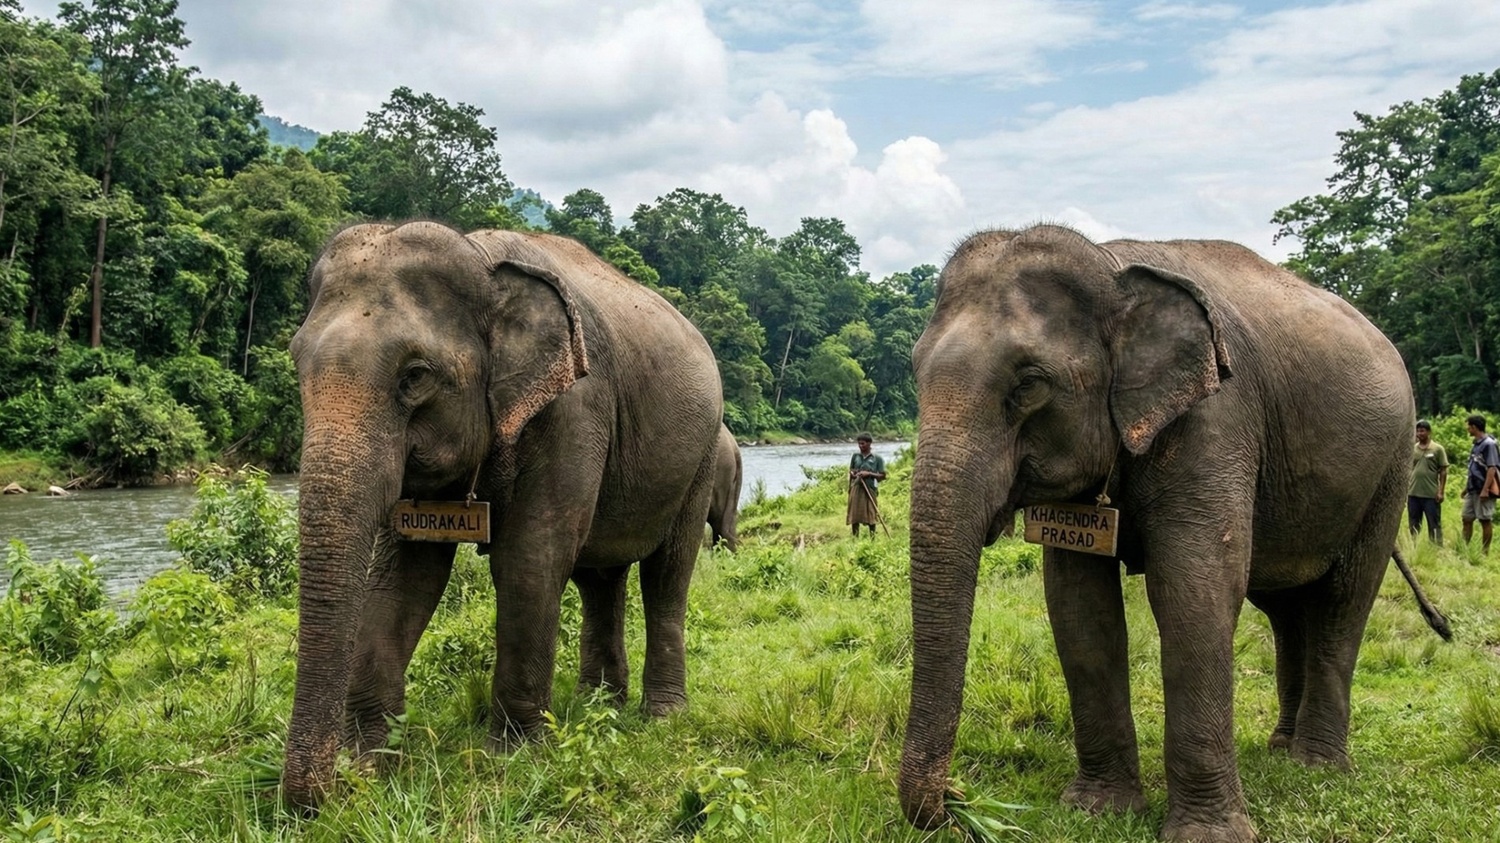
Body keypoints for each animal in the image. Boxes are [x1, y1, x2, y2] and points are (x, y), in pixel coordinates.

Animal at [281, 221, 722, 811]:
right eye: (296, 363)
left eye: (414, 376)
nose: (323, 799)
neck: (480, 257)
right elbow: (406, 574)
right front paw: (374, 761)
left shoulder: (575, 407)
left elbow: (530, 559)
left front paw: (513, 757)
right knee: (599, 579)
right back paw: (598, 707)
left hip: (702, 456)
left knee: (667, 574)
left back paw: (661, 716)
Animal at [898, 225, 1437, 842]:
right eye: (914, 373)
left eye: (1030, 384)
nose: (958, 800)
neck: (1109, 266)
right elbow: (1078, 605)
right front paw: (1099, 809)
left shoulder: (1216, 421)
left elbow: (1193, 592)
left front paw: (1208, 835)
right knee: (1285, 608)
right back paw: (1281, 746)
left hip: (1391, 468)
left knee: (1344, 600)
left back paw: (1317, 764)